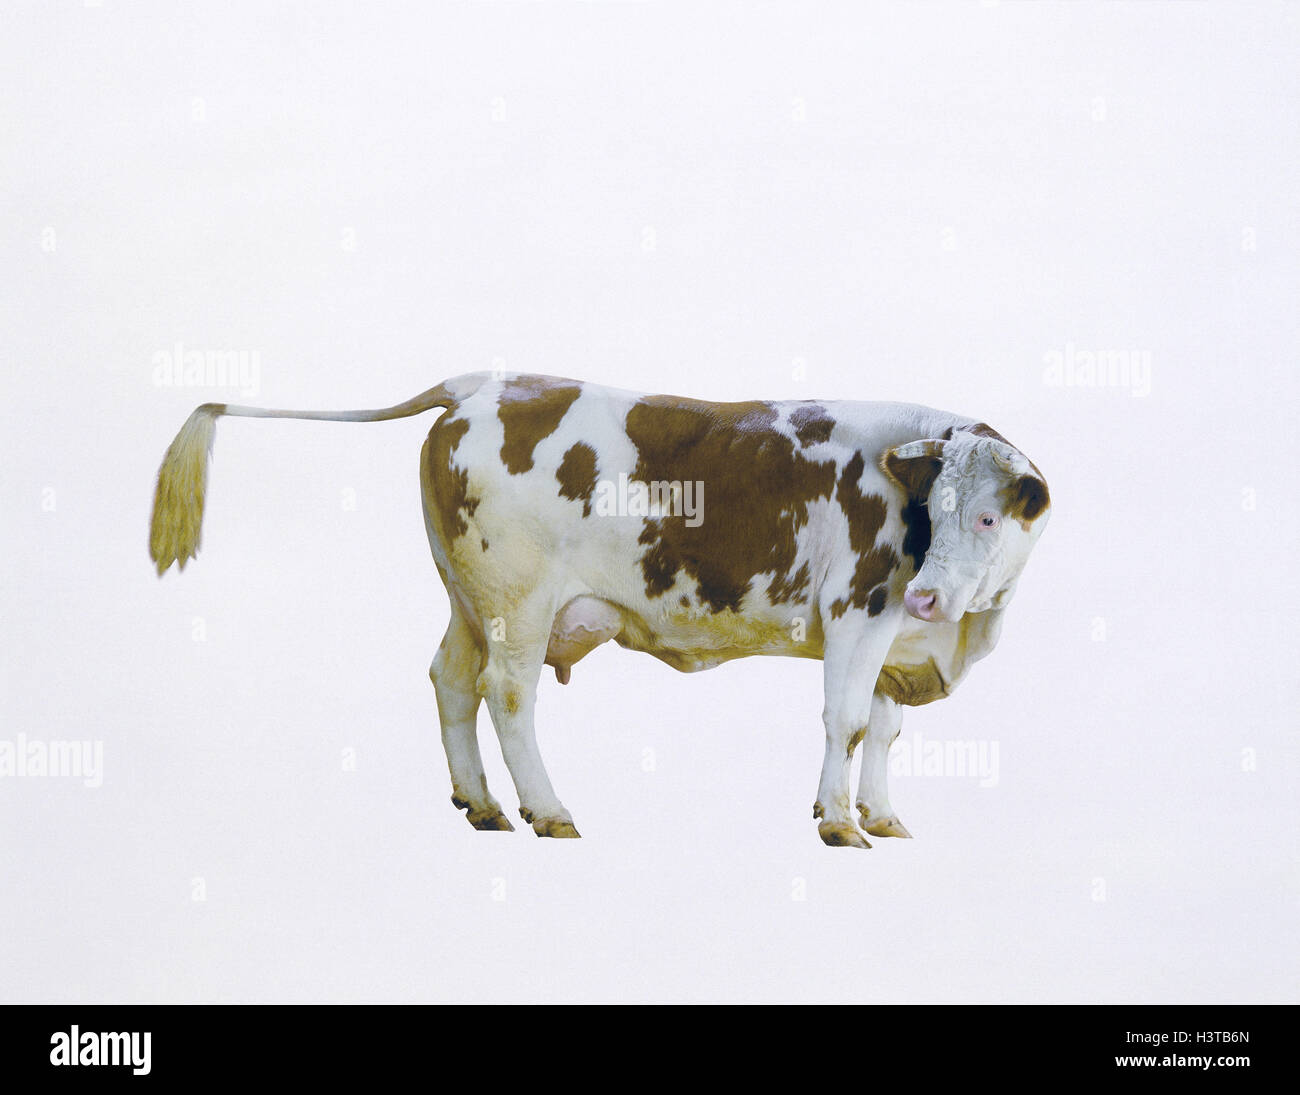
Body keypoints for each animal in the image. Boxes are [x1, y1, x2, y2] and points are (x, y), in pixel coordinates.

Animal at [150, 373, 1050, 848]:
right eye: (943, 506)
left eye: (990, 516)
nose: (929, 592)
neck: (958, 629)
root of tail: (481, 383)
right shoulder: (858, 613)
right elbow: (849, 721)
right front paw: (837, 822)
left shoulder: (902, 641)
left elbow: (886, 731)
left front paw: (884, 815)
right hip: (519, 602)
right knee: (508, 694)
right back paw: (547, 810)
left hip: (467, 597)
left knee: (450, 678)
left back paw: (481, 804)